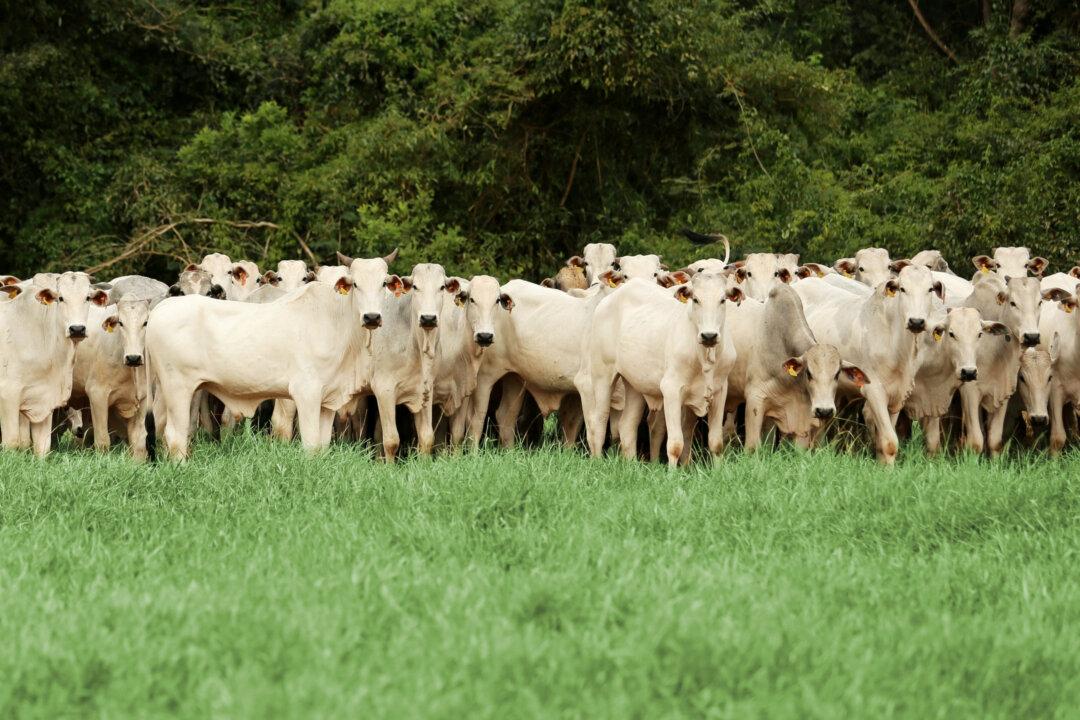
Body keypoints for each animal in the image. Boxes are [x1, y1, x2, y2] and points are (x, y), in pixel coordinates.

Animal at [0, 273, 109, 456]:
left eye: (87, 297)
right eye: (61, 298)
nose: (77, 329)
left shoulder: (45, 400)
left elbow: (42, 447)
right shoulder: (8, 396)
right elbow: (13, 442)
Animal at [576, 272, 742, 467]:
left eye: (722, 300)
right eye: (695, 299)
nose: (709, 335)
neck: (705, 357)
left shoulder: (719, 391)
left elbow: (716, 443)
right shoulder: (672, 390)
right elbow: (675, 444)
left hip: (634, 385)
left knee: (627, 426)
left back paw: (632, 466)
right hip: (603, 376)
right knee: (598, 422)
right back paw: (597, 462)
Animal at [795, 265, 941, 464]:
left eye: (930, 289)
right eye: (902, 289)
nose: (916, 321)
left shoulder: (897, 397)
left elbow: (885, 441)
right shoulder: (874, 391)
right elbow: (890, 442)